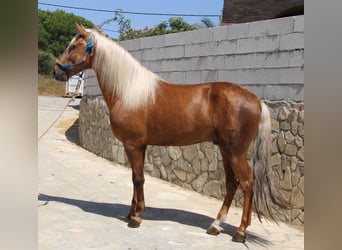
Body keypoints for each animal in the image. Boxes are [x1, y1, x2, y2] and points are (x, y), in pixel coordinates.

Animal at [54, 23, 290, 242]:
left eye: (73, 46)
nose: (56, 71)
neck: (129, 91)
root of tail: (256, 100)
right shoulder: (139, 146)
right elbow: (135, 178)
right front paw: (132, 212)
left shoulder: (133, 144)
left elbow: (138, 178)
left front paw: (136, 217)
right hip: (225, 150)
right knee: (232, 184)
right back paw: (215, 226)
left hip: (235, 152)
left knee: (247, 184)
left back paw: (240, 232)